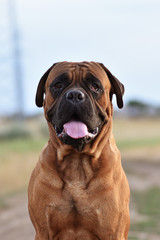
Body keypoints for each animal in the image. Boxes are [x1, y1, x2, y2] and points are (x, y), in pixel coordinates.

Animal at [27, 62, 130, 240]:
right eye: (58, 85)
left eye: (95, 86)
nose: (75, 95)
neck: (76, 161)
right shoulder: (43, 231)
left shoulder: (113, 232)